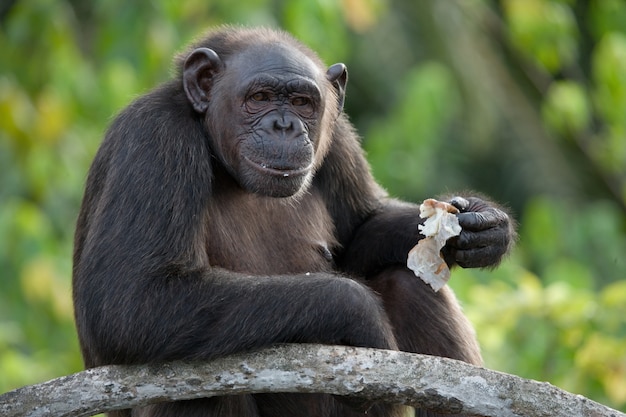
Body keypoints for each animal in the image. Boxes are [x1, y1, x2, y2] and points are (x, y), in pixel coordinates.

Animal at [72, 26, 512, 416]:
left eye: (302, 102)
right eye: (260, 97)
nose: (283, 125)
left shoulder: (340, 139)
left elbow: (361, 229)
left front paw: (483, 224)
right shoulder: (152, 139)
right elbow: (132, 299)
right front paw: (359, 314)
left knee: (408, 281)